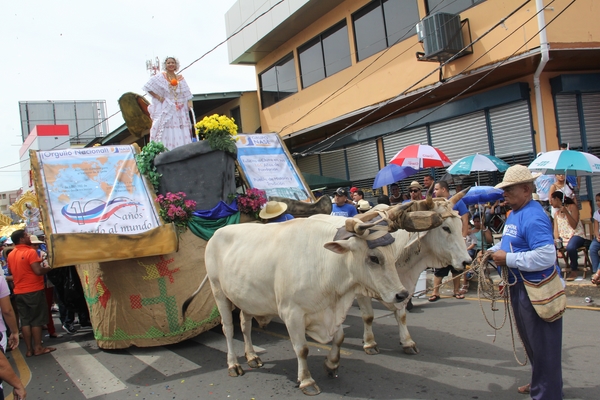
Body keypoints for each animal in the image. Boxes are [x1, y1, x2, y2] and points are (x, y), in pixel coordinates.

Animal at [182, 204, 445, 396]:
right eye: (373, 258)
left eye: (391, 255)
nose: (402, 294)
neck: (325, 263)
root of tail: (217, 233)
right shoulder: (292, 313)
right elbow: (302, 348)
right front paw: (307, 381)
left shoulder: (332, 309)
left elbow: (338, 338)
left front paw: (331, 364)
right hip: (218, 291)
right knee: (228, 329)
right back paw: (233, 364)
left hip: (247, 297)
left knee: (245, 325)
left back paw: (252, 357)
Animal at [355, 190, 472, 356]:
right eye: (446, 228)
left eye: (461, 224)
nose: (467, 261)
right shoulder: (361, 291)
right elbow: (368, 317)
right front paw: (370, 343)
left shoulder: (403, 288)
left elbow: (402, 315)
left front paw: (407, 342)